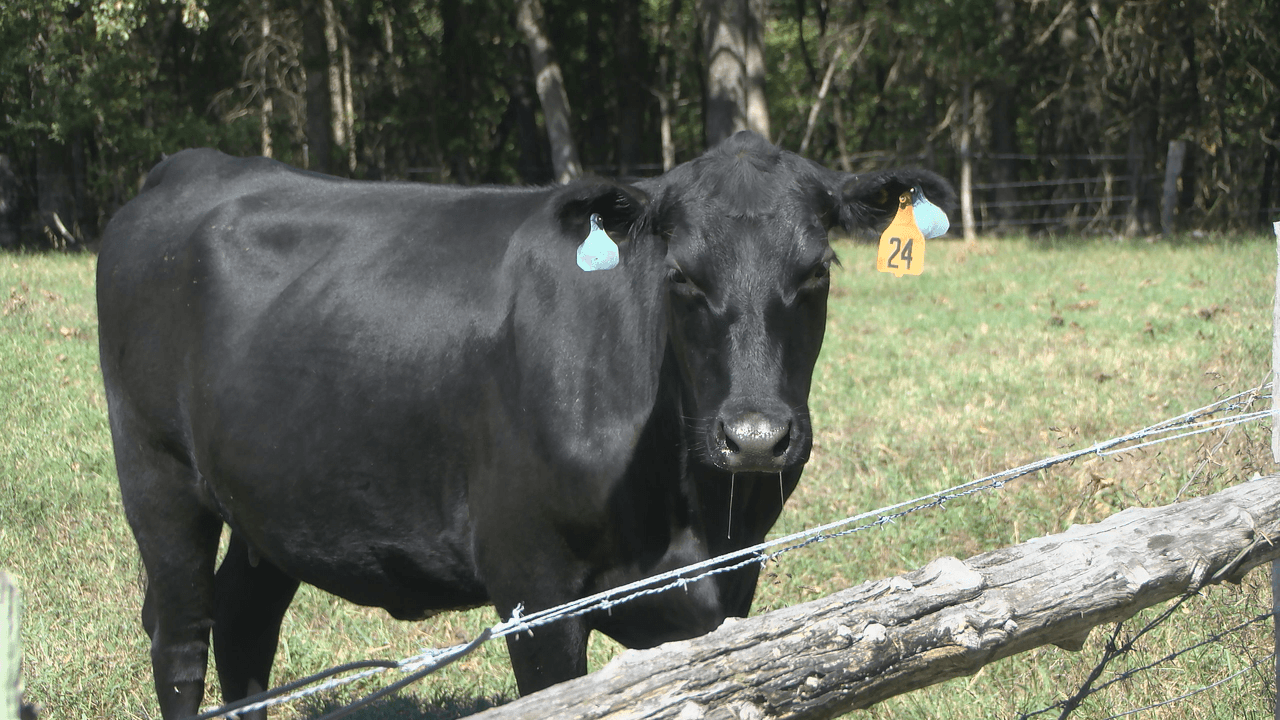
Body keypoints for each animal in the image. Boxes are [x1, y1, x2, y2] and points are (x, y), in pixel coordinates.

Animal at [97, 131, 952, 719]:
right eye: (680, 275)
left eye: (816, 272)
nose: (753, 437)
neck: (695, 513)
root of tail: (195, 164)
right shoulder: (533, 584)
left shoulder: (731, 587)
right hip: (156, 474)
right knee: (182, 635)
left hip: (275, 499)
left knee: (245, 623)